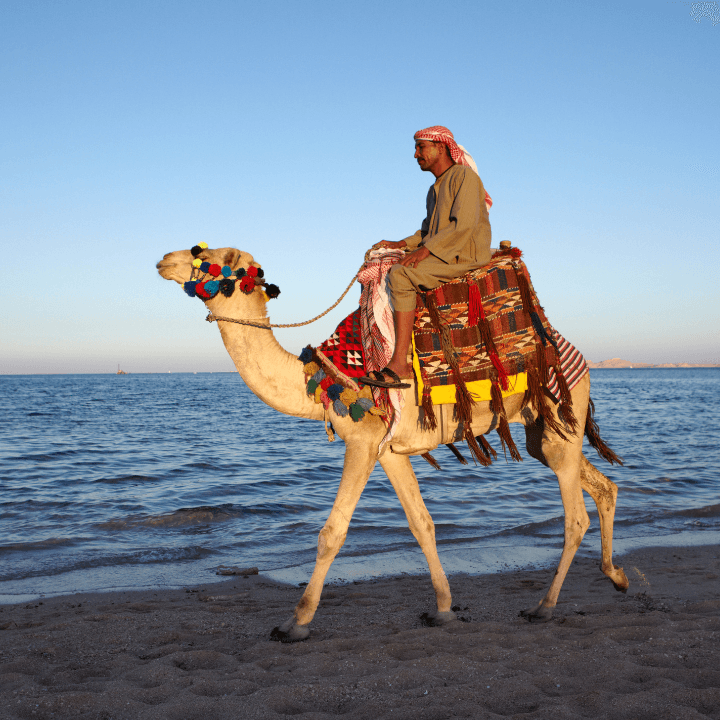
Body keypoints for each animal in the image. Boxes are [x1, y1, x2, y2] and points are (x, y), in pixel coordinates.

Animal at [157, 246, 629, 642]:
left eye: (212, 257)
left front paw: (295, 622)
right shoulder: (387, 451)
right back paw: (616, 575)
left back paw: (544, 606)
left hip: (559, 414)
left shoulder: (362, 441)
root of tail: (579, 358)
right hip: (543, 431)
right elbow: (422, 524)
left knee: (575, 518)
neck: (326, 380)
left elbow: (332, 532)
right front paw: (443, 609)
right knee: (603, 486)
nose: (164, 259)